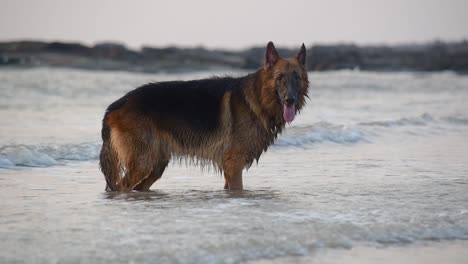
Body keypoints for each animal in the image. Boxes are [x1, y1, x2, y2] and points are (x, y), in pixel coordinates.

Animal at [99, 41, 308, 191]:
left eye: (297, 78)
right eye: (280, 78)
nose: (290, 100)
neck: (258, 97)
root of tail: (115, 105)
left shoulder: (231, 168)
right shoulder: (234, 165)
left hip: (155, 165)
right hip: (143, 163)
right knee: (122, 187)